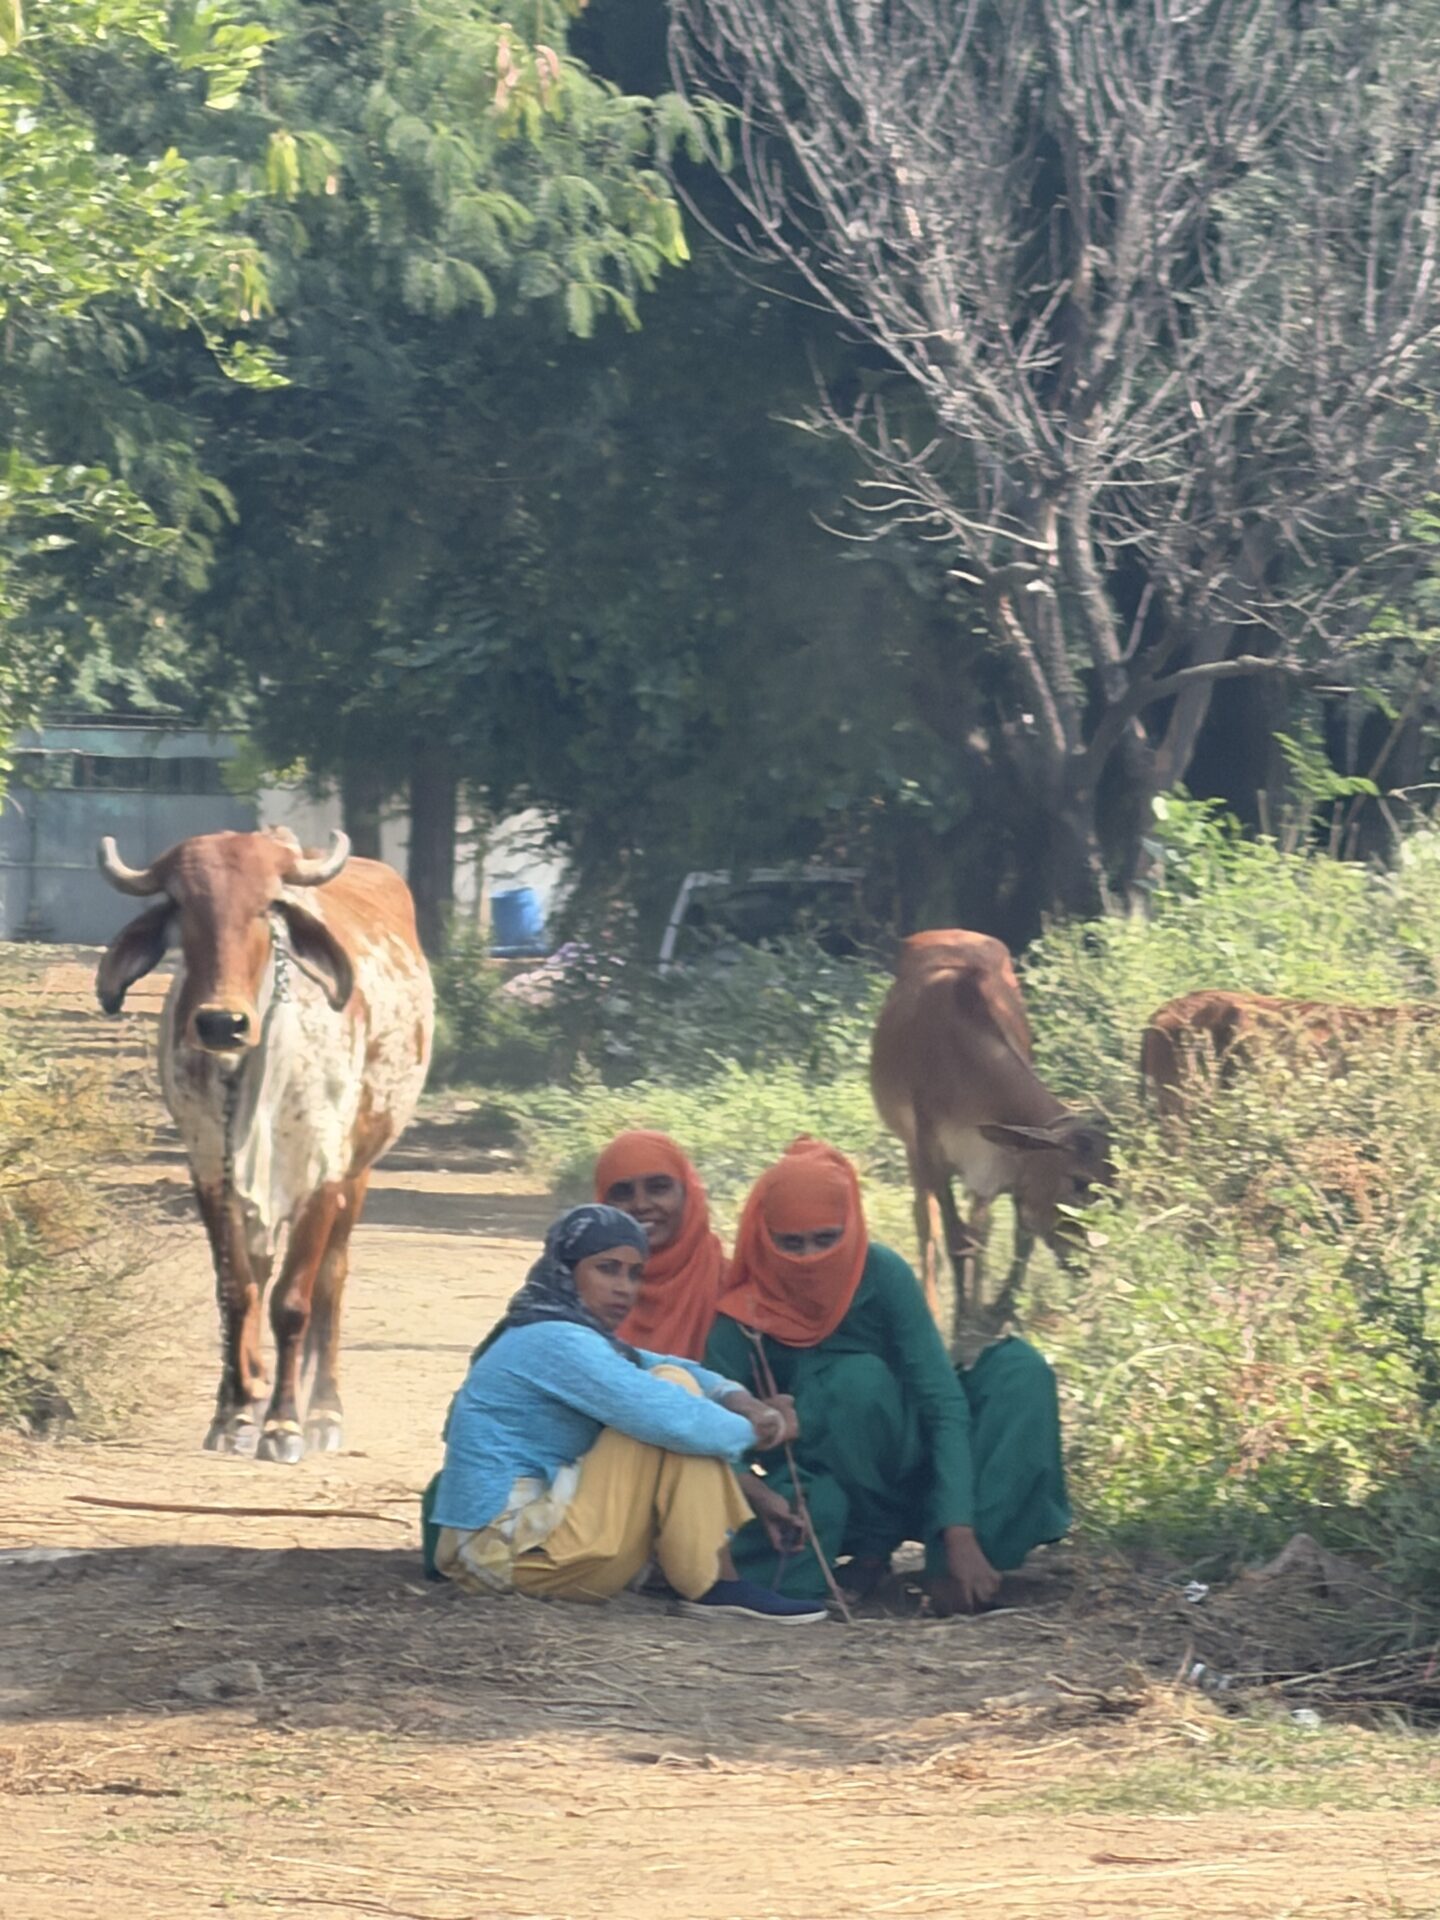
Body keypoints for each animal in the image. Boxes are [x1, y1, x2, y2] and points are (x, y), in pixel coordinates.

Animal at [94, 827, 433, 1462]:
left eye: (267, 908)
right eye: (185, 907)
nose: (220, 1024)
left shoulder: (322, 1174)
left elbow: (293, 1302)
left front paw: (283, 1424)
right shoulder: (209, 1168)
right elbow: (238, 1291)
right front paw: (233, 1416)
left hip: (358, 1170)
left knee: (331, 1280)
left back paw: (323, 1411)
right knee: (258, 1269)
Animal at [870, 930, 1110, 1353]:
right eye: (1079, 1182)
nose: (1088, 1262)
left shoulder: (998, 1165)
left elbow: (1006, 1235)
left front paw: (994, 1312)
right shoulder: (932, 1154)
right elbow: (954, 1239)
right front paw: (958, 1325)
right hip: (915, 1154)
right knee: (927, 1226)